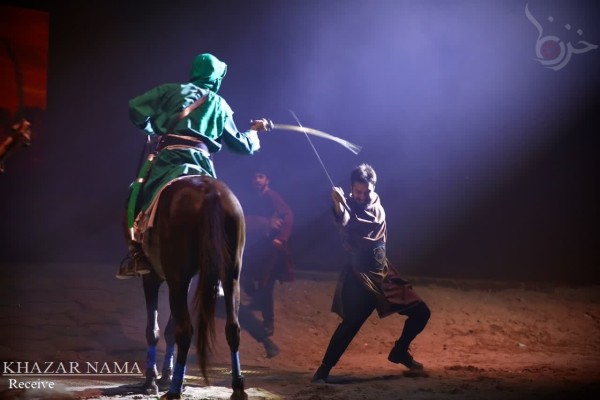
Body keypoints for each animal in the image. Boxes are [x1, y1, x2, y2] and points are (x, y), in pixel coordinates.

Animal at [138, 176, 246, 400]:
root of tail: (209, 191)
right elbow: (169, 329)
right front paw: (165, 375)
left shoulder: (153, 277)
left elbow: (153, 330)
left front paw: (152, 381)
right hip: (230, 274)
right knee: (233, 327)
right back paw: (237, 386)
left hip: (177, 278)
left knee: (185, 330)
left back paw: (174, 389)